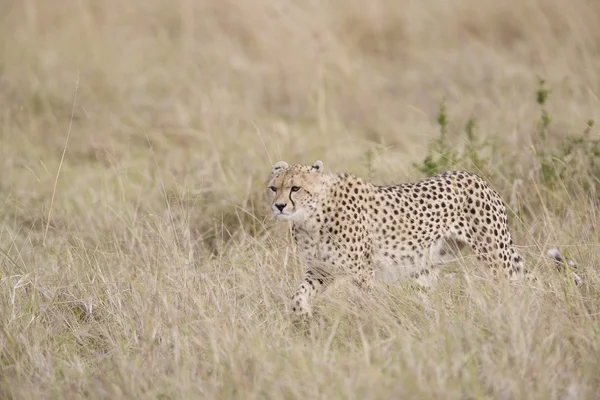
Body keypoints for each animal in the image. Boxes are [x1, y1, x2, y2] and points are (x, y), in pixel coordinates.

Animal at [268, 159, 536, 318]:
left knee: (515, 283)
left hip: (495, 254)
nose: (279, 206)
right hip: (425, 268)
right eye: (273, 188)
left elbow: (362, 303)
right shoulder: (320, 270)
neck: (312, 217)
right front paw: (302, 315)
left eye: (295, 188)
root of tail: (473, 175)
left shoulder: (362, 272)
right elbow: (298, 295)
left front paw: (363, 326)